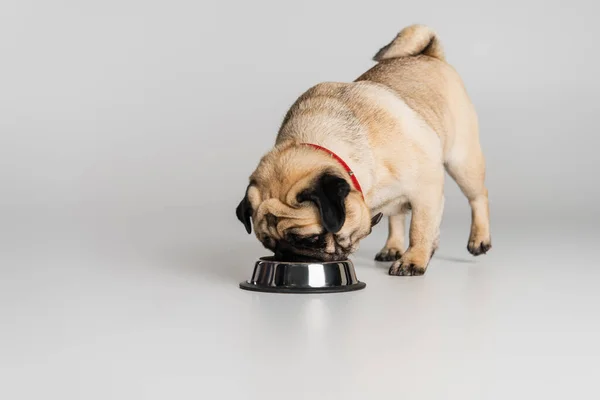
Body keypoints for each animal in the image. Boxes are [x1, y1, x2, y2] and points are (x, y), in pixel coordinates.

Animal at [234, 24, 492, 276]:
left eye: (311, 240)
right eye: (268, 243)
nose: (288, 254)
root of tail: (429, 55)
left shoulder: (426, 188)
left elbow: (420, 228)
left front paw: (414, 260)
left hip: (462, 162)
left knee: (478, 196)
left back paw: (479, 239)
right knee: (397, 216)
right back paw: (393, 248)